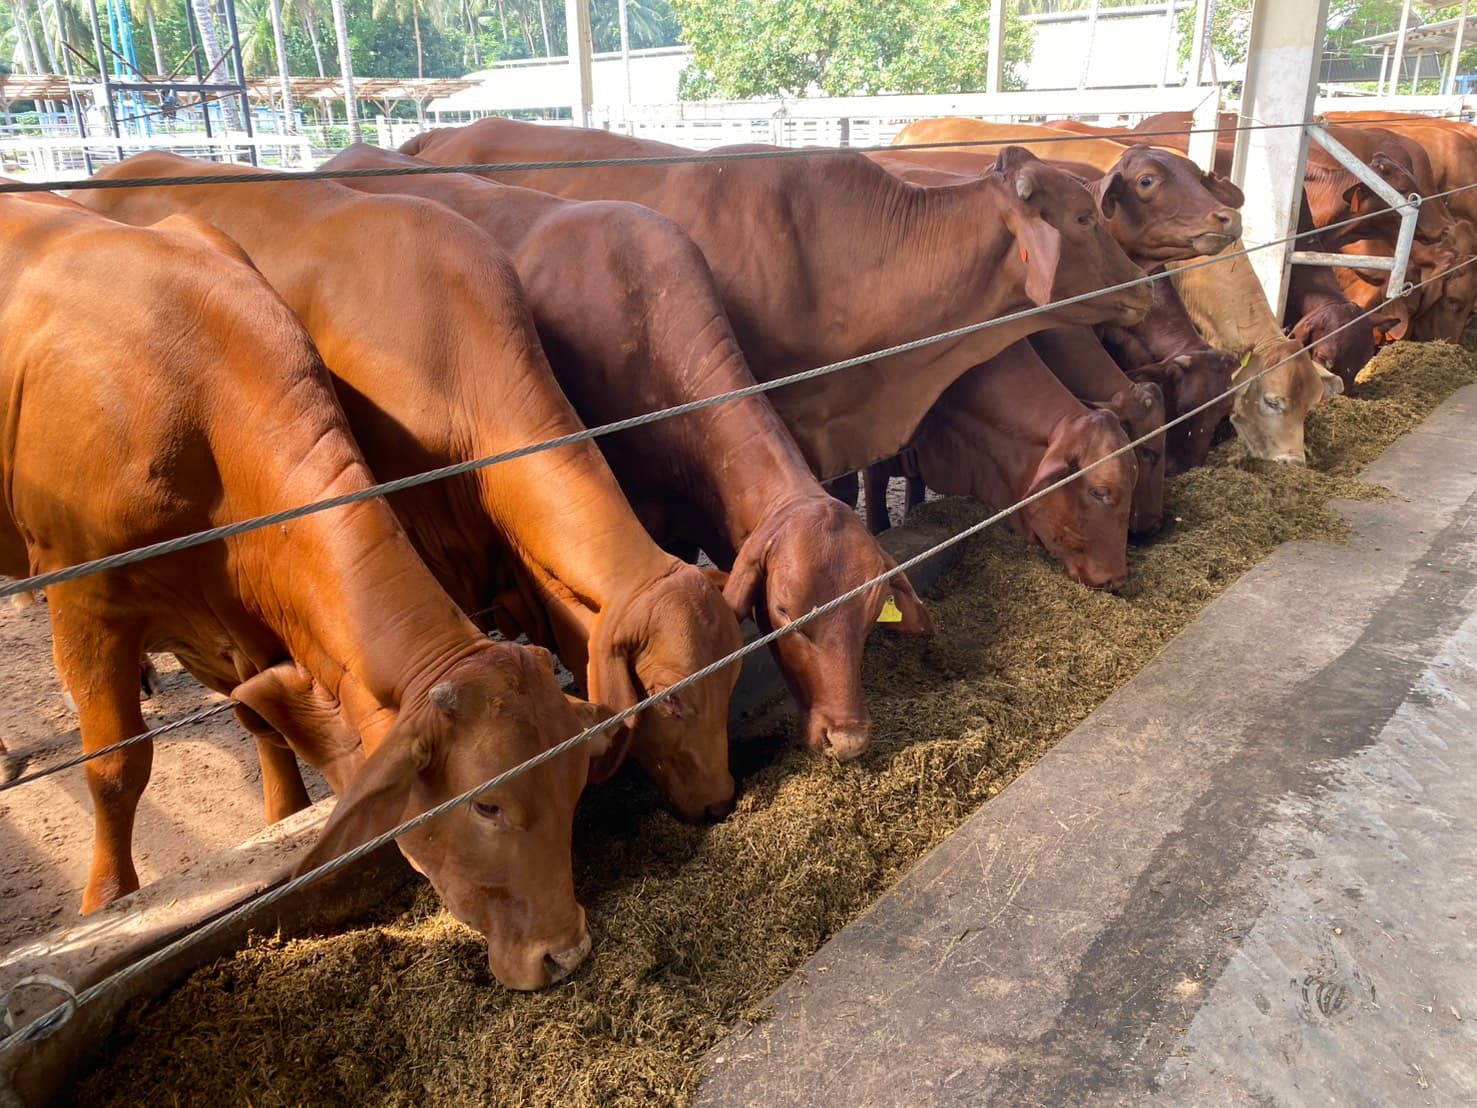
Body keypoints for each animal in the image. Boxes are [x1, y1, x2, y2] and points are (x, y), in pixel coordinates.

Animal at [0, 193, 612, 989]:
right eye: (488, 806)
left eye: (575, 781)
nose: (565, 951)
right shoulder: (88, 604)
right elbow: (115, 767)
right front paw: (108, 901)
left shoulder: (246, 619)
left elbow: (261, 722)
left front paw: (283, 817)